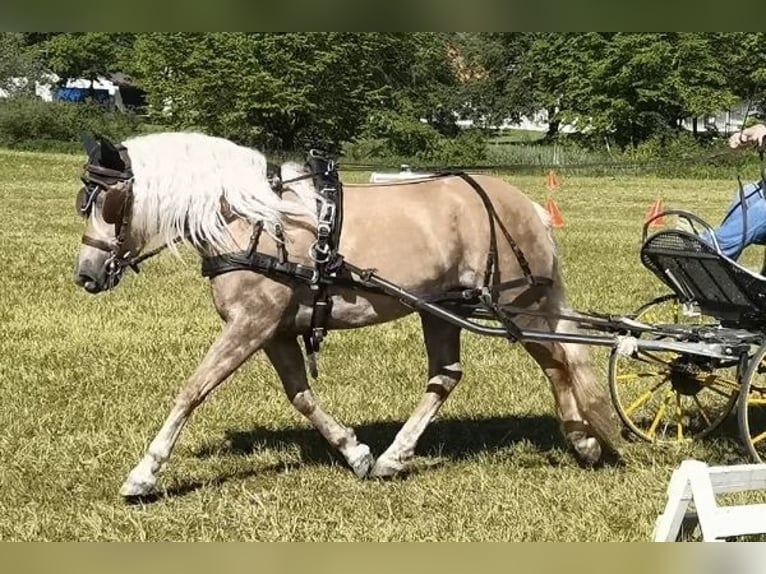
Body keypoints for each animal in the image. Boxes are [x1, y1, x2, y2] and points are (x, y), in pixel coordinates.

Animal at [72, 130, 620, 500]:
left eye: (109, 202)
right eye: (85, 201)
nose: (86, 274)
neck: (251, 220)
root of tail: (526, 205)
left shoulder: (250, 324)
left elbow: (193, 389)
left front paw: (145, 473)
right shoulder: (273, 331)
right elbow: (301, 396)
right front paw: (355, 452)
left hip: (517, 307)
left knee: (559, 364)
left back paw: (584, 441)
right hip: (445, 308)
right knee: (449, 374)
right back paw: (396, 457)